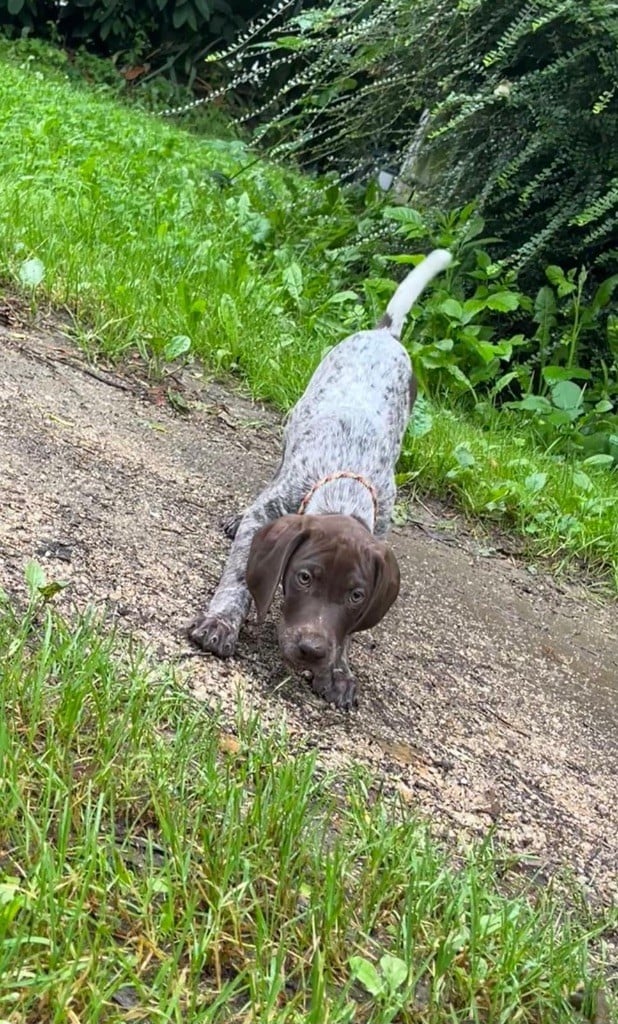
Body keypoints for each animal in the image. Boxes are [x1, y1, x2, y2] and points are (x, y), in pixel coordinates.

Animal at [186, 251, 452, 708]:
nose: (312, 650)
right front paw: (222, 622)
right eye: (304, 577)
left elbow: (347, 634)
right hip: (293, 421)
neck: (345, 487)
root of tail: (384, 335)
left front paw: (338, 670)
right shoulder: (272, 510)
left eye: (356, 595)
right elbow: (239, 575)